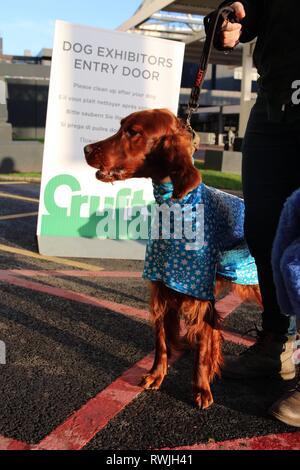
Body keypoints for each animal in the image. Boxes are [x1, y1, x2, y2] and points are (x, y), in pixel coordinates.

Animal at [84, 108, 260, 410]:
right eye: (121, 127)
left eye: (133, 131)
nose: (85, 149)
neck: (175, 205)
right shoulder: (162, 287)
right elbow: (162, 341)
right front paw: (156, 375)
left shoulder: (199, 294)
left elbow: (202, 346)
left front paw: (201, 389)